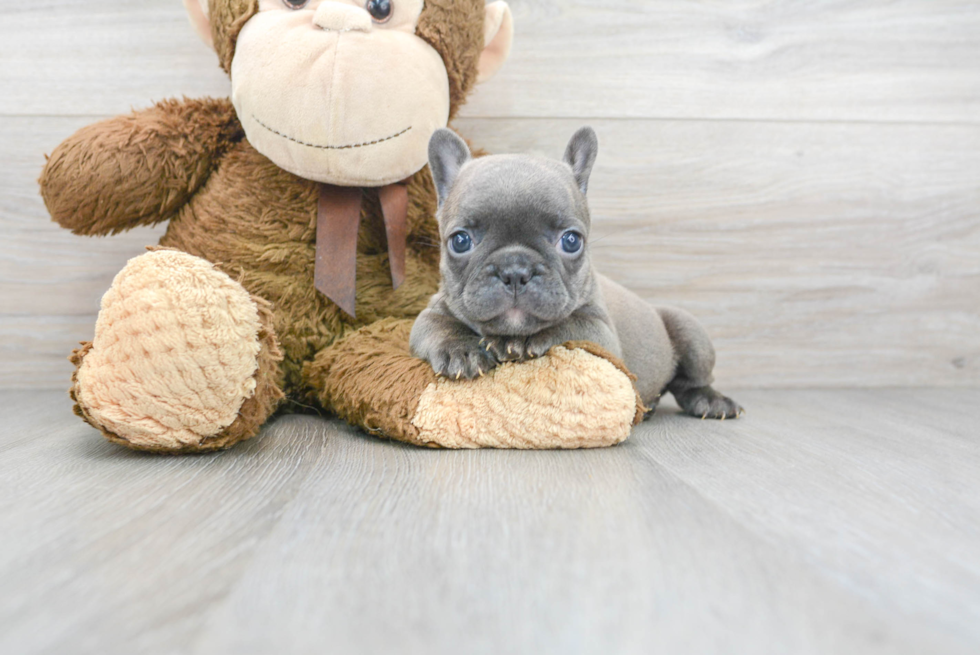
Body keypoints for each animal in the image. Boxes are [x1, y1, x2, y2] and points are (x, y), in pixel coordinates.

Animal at [408, 125, 744, 418]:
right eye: (460, 241)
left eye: (571, 241)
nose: (515, 270)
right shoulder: (430, 313)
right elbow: (436, 326)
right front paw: (461, 350)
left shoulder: (600, 333)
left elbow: (569, 326)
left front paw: (522, 342)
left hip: (690, 332)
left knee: (692, 382)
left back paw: (711, 401)